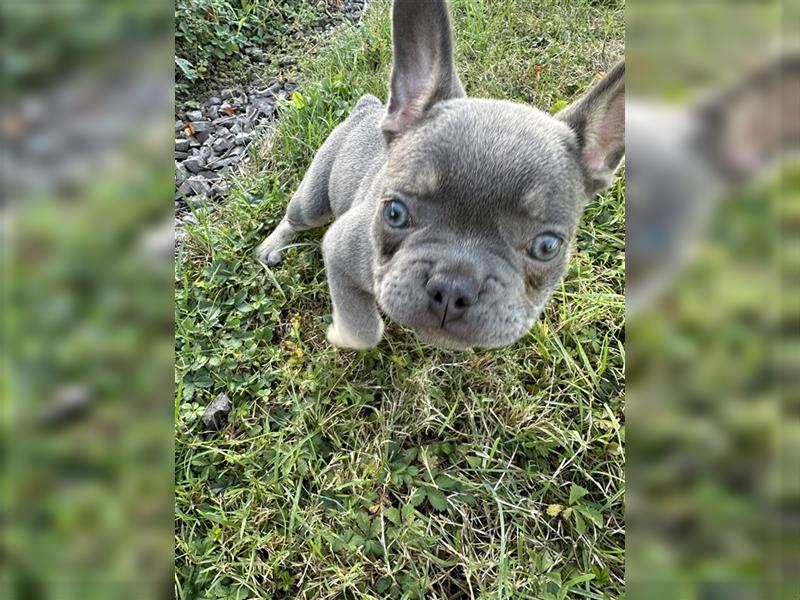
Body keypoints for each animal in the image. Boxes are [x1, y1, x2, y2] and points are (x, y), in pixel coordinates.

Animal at [256, 0, 624, 352]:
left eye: (547, 247)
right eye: (394, 213)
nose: (452, 287)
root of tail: (367, 108)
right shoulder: (340, 249)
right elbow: (365, 331)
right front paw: (340, 334)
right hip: (314, 199)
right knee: (295, 217)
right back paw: (270, 246)